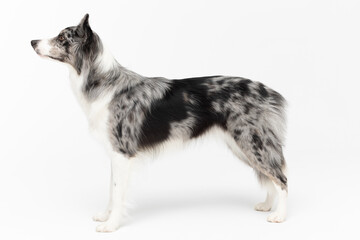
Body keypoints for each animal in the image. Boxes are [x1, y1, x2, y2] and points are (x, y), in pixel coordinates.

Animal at [31, 14, 290, 232]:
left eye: (62, 38)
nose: (32, 41)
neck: (103, 82)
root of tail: (268, 91)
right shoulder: (115, 154)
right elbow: (111, 191)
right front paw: (106, 216)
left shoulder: (122, 151)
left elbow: (117, 192)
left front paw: (111, 225)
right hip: (243, 145)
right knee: (269, 176)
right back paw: (267, 205)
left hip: (252, 141)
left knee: (281, 178)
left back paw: (280, 216)